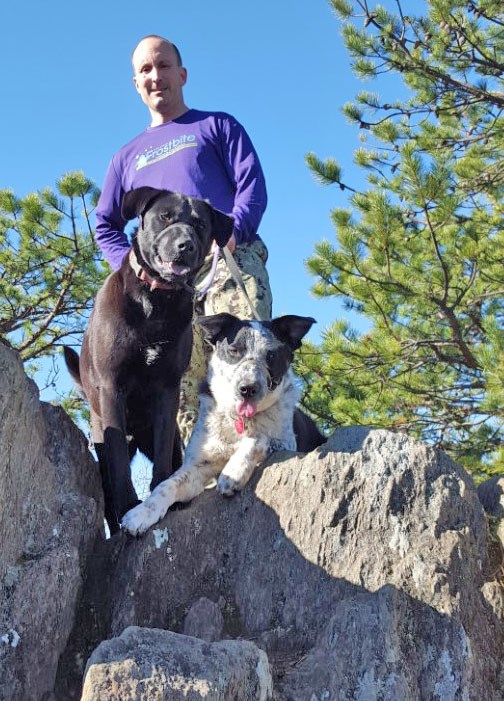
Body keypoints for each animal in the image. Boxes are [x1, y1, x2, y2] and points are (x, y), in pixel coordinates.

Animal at [63, 185, 234, 532]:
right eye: (164, 217)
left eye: (200, 225)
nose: (185, 245)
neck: (155, 300)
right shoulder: (112, 387)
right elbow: (119, 467)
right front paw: (131, 505)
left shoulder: (168, 390)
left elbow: (164, 459)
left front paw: (158, 499)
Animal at [124, 312, 324, 536]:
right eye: (234, 350)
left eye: (272, 355)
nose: (248, 388)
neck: (238, 420)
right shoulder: (199, 465)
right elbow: (168, 485)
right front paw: (141, 512)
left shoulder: (286, 444)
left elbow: (257, 437)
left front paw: (234, 473)